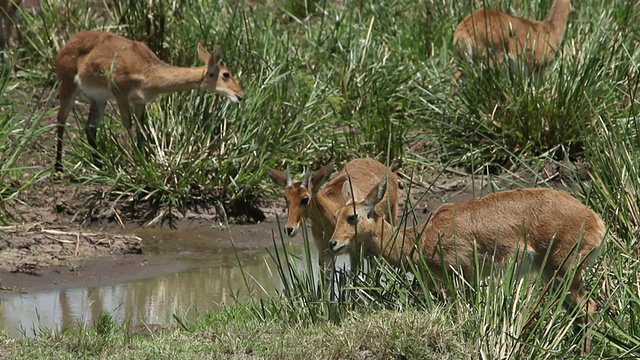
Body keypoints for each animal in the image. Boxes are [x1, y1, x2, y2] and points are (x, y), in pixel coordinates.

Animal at [53, 30, 244, 172]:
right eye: (226, 74)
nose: (240, 95)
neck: (147, 70)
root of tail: (66, 44)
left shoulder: (140, 101)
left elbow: (141, 130)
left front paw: (144, 162)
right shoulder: (120, 93)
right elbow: (128, 124)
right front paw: (134, 163)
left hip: (99, 99)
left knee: (90, 127)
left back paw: (99, 165)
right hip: (68, 86)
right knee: (61, 120)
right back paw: (59, 169)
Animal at [330, 181, 604, 350]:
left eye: (352, 216)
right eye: (336, 215)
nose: (333, 243)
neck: (418, 238)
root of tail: (596, 220)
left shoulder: (461, 277)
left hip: (563, 273)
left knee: (589, 307)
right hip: (555, 278)